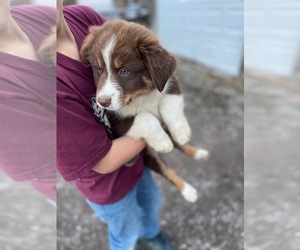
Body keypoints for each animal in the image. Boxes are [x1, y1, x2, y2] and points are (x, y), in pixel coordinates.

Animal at [80, 20, 209, 203]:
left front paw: (182, 133)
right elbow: (145, 117)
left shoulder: (170, 83)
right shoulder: (116, 120)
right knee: (167, 171)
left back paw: (198, 153)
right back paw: (189, 191)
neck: (140, 95)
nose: (102, 102)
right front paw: (163, 142)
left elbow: (170, 105)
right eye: (98, 68)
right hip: (148, 154)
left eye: (124, 71)